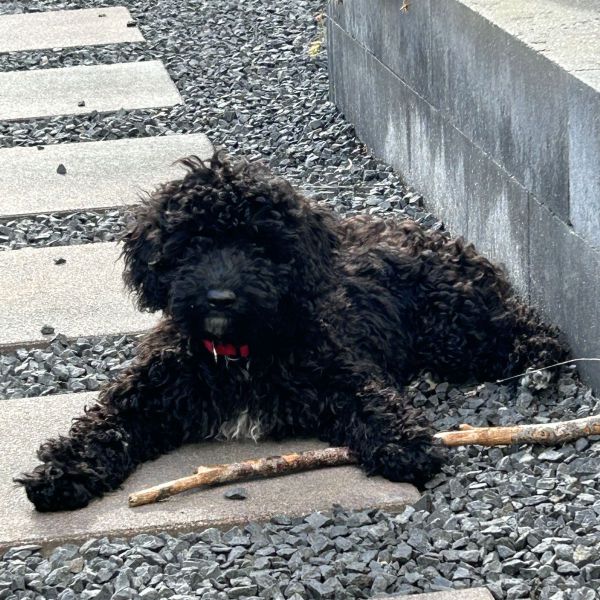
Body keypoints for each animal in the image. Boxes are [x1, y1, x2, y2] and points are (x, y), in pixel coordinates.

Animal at [16, 155, 564, 510]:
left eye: (260, 244)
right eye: (192, 243)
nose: (220, 297)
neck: (237, 352)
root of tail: (442, 237)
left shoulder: (339, 368)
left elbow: (370, 399)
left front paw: (403, 442)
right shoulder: (149, 390)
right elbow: (103, 423)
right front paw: (62, 471)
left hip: (453, 327)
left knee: (528, 328)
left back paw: (539, 361)